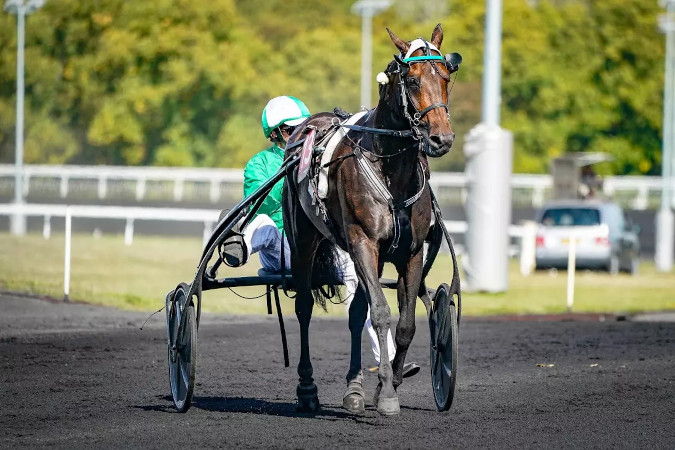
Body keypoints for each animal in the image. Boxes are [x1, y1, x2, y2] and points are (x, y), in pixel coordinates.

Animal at [280, 22, 460, 414]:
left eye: (445, 76)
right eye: (412, 80)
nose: (441, 138)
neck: (391, 170)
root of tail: (308, 127)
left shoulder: (410, 252)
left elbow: (405, 323)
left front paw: (387, 384)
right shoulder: (363, 242)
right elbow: (379, 312)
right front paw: (388, 395)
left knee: (355, 313)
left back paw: (354, 389)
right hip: (304, 241)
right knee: (303, 308)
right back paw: (307, 389)